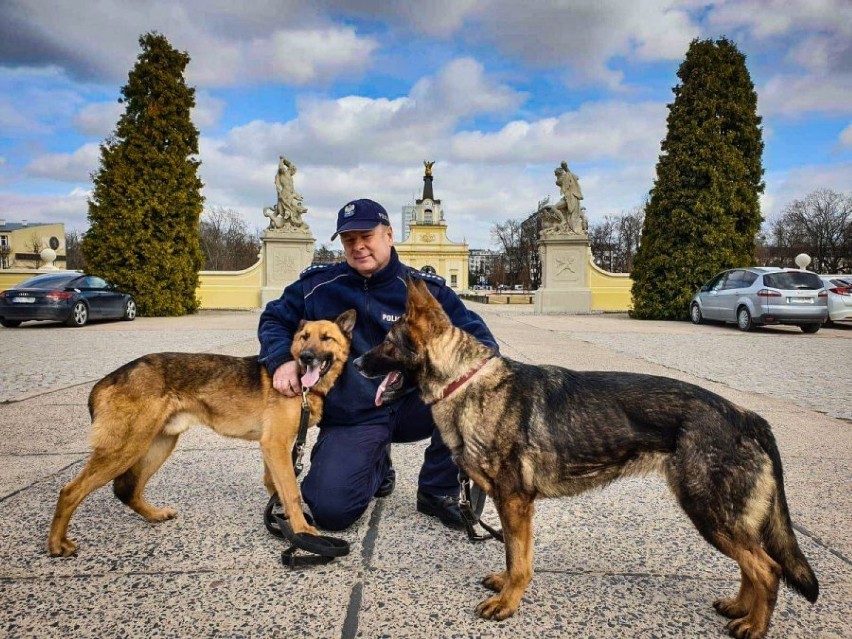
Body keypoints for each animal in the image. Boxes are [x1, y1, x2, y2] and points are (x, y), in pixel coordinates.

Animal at [48, 308, 354, 556]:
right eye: (304, 337)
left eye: (326, 338)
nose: (306, 357)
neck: (304, 386)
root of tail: (108, 379)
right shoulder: (275, 444)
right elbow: (291, 490)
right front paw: (301, 530)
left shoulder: (272, 448)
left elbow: (275, 484)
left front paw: (282, 517)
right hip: (126, 448)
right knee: (71, 491)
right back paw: (56, 544)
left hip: (158, 444)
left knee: (126, 490)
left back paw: (154, 515)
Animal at [354, 282, 820, 639]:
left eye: (388, 342)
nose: (355, 362)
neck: (466, 381)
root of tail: (748, 416)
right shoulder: (513, 507)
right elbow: (512, 555)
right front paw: (505, 585)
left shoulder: (515, 503)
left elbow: (518, 559)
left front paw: (508, 602)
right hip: (721, 518)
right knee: (753, 565)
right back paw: (740, 608)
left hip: (708, 512)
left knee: (767, 569)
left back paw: (755, 626)